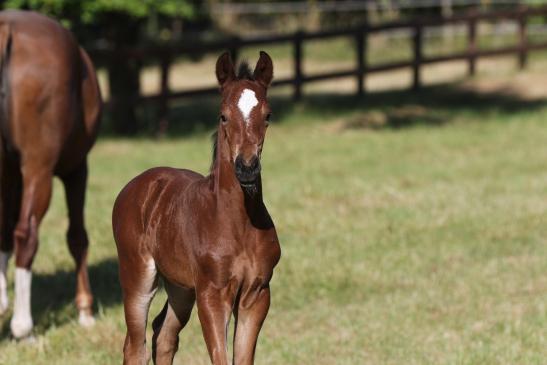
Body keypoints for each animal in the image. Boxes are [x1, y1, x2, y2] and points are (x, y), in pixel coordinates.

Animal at [0, 9, 101, 336]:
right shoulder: (77, 169)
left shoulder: (9, 173)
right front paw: (85, 310)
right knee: (27, 233)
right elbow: (78, 237)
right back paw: (23, 327)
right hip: (39, 170)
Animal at [113, 52, 280, 364]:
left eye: (267, 116)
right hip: (138, 278)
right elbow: (220, 357)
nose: (247, 168)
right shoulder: (212, 294)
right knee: (135, 345)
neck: (238, 223)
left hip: (180, 288)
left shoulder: (257, 293)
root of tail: (135, 186)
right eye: (223, 115)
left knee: (164, 335)